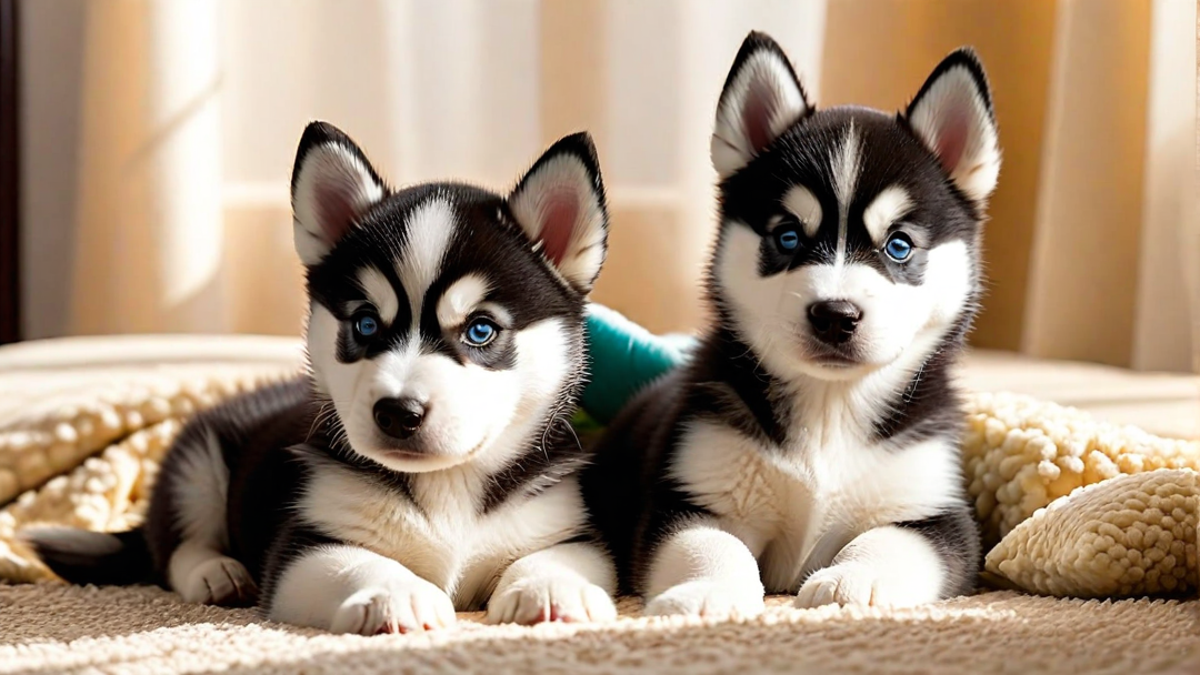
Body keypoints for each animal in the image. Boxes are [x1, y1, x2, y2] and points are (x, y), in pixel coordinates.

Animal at [28, 119, 619, 629]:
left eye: (480, 330)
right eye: (364, 323)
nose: (397, 413)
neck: (446, 487)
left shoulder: (568, 526)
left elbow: (553, 557)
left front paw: (551, 589)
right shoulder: (303, 546)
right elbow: (361, 562)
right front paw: (397, 594)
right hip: (196, 460)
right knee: (176, 544)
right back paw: (217, 572)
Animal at [578, 34, 993, 619]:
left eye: (899, 245)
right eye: (788, 236)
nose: (835, 315)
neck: (828, 410)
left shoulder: (936, 513)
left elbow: (889, 540)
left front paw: (853, 580)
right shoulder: (692, 494)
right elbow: (711, 544)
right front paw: (709, 590)